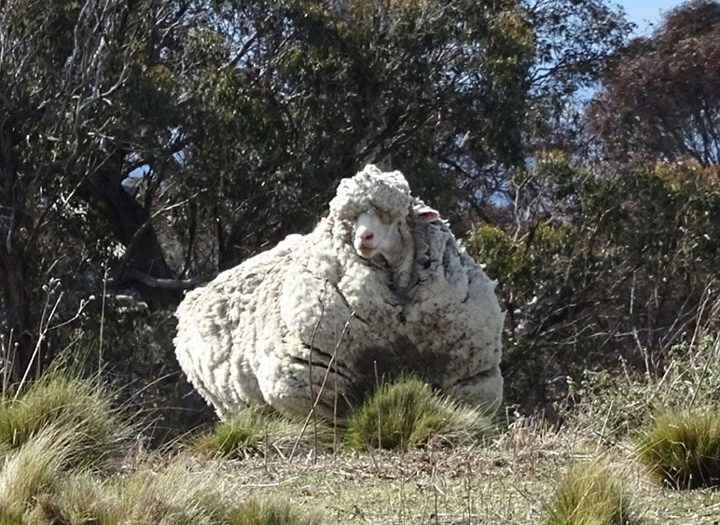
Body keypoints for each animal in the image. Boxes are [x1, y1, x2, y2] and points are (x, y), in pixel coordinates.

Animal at [174, 165, 500, 422]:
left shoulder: (471, 378)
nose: (364, 238)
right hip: (232, 405)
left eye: (394, 217)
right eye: (350, 220)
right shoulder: (311, 380)